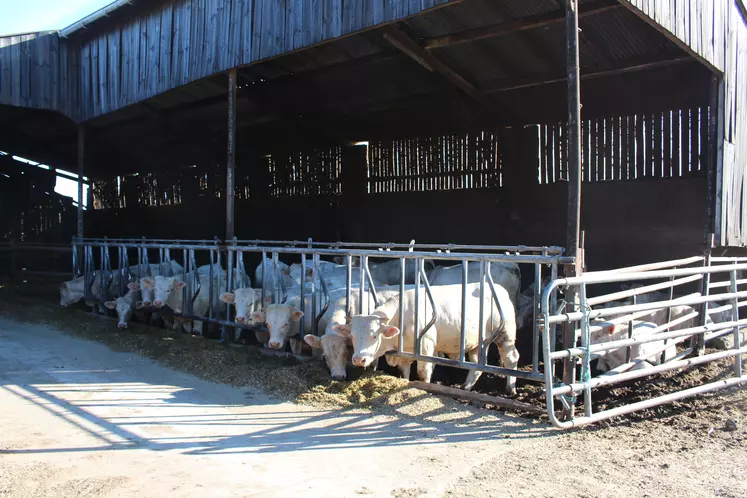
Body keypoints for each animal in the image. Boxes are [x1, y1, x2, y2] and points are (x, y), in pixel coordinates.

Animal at [334, 284, 516, 392]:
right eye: (352, 336)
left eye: (374, 335)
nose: (358, 359)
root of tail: (500, 289)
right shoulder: (405, 351)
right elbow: (404, 371)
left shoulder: (425, 345)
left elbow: (423, 372)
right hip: (479, 342)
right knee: (477, 365)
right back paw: (465, 386)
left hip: (505, 334)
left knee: (511, 358)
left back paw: (511, 388)